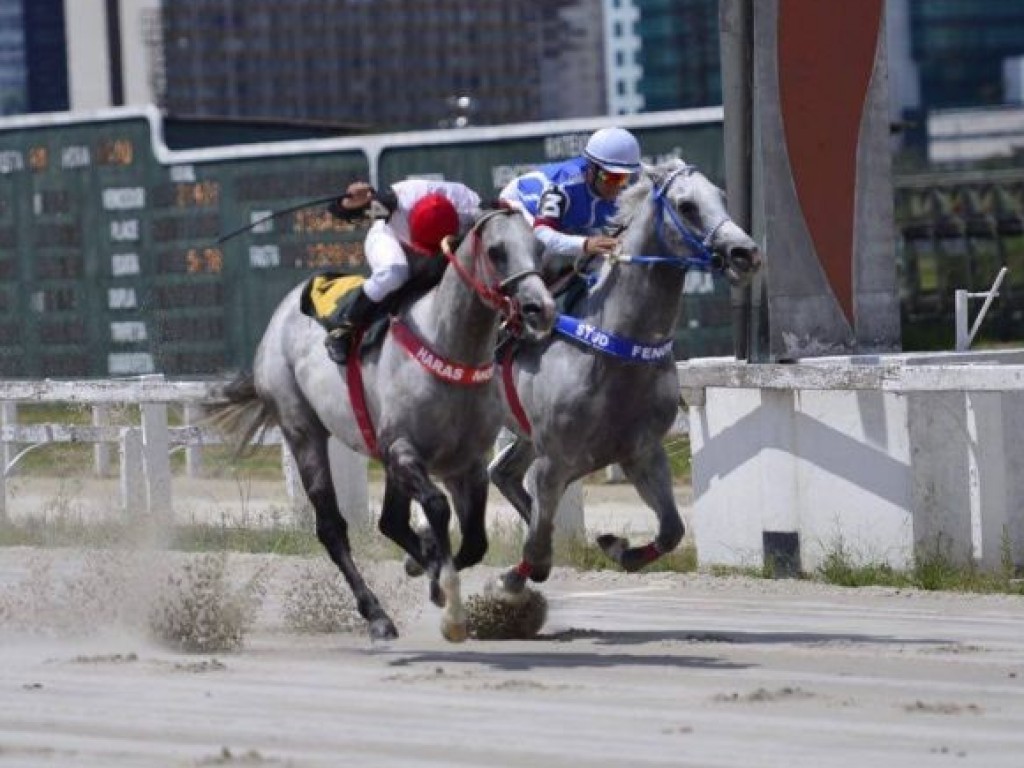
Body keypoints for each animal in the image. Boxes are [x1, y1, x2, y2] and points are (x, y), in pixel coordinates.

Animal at [208, 207, 557, 638]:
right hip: (302, 429)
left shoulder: (467, 463)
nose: (540, 308)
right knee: (331, 526)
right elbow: (437, 507)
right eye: (496, 251)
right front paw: (446, 596)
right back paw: (376, 614)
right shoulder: (404, 449)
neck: (448, 347)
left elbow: (475, 542)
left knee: (390, 522)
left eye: (539, 247)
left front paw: (435, 574)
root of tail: (283, 312)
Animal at [487, 159, 761, 593]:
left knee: (502, 472)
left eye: (721, 196)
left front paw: (618, 548)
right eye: (686, 206)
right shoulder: (554, 462)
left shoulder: (644, 452)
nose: (745, 254)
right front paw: (514, 578)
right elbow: (537, 542)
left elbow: (672, 529)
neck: (616, 348)